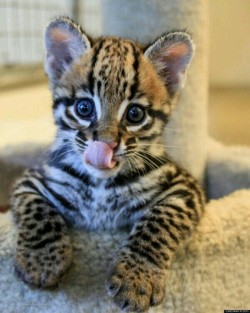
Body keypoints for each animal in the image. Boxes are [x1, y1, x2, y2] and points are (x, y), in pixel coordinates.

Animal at [10, 17, 205, 312]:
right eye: (84, 108)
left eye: (135, 114)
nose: (106, 145)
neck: (100, 186)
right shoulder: (32, 181)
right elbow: (38, 213)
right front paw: (42, 260)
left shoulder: (185, 189)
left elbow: (159, 221)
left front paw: (137, 278)